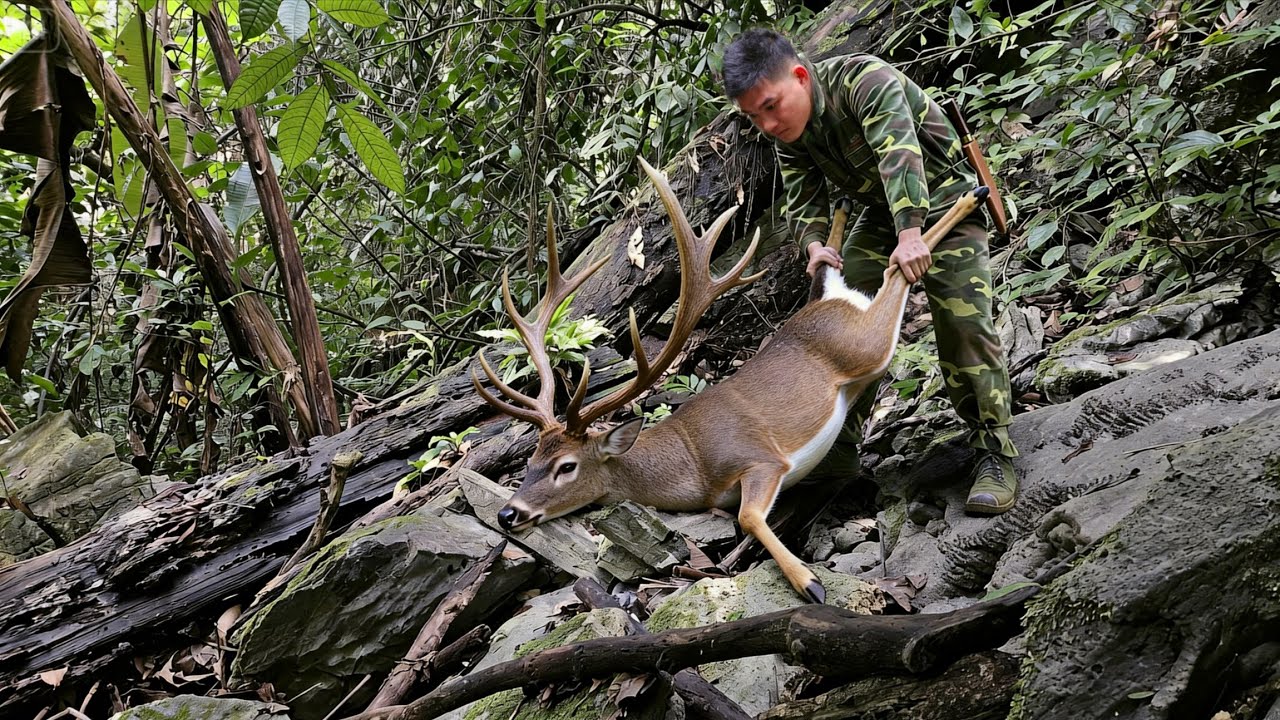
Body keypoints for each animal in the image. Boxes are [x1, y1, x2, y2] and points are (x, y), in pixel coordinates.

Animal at [473, 157, 987, 603]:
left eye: (566, 467)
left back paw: (971, 196)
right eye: (530, 463)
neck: (692, 465)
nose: (508, 512)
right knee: (842, 265)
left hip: (865, 347)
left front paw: (809, 582)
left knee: (895, 271)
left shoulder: (760, 458)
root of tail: (831, 303)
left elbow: (747, 515)